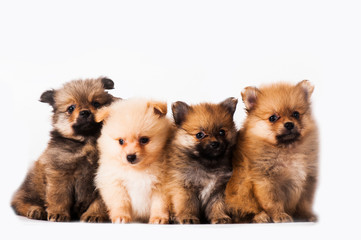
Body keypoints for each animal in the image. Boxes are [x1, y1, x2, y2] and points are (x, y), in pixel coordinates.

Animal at [10, 77, 115, 221]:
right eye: (71, 108)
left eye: (96, 104)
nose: (85, 112)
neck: (87, 141)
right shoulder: (60, 172)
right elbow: (59, 196)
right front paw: (59, 213)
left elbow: (101, 201)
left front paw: (95, 214)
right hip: (33, 185)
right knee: (21, 201)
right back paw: (36, 210)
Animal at [225, 80, 318, 223]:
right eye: (273, 118)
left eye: (296, 114)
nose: (289, 124)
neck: (287, 149)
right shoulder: (266, 179)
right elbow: (273, 201)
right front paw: (280, 215)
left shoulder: (307, 179)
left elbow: (304, 202)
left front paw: (306, 215)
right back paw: (260, 216)